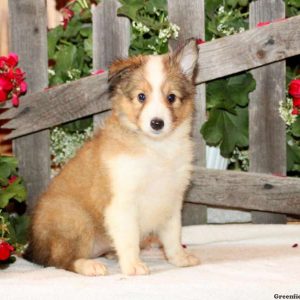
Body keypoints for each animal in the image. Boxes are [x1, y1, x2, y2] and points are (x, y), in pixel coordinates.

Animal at [25, 38, 199, 276]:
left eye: (171, 97)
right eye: (141, 96)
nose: (157, 123)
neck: (156, 148)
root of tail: (33, 247)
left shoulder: (171, 199)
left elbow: (173, 236)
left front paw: (179, 259)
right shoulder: (122, 201)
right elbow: (129, 239)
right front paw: (133, 265)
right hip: (75, 218)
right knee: (59, 260)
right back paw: (90, 265)